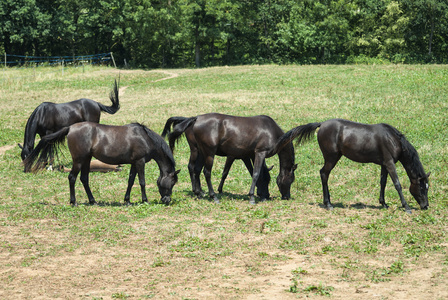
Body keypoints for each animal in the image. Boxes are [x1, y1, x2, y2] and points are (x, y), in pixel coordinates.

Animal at [23, 122, 180, 206]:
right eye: (172, 182)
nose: (167, 200)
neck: (145, 138)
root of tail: (70, 128)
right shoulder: (140, 162)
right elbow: (142, 182)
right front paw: (144, 200)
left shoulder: (134, 163)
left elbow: (130, 181)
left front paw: (127, 200)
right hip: (79, 161)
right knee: (72, 178)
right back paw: (74, 202)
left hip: (87, 160)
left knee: (84, 179)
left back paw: (93, 201)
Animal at [166, 113, 296, 204]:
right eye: (291, 179)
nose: (287, 196)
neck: (270, 130)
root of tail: (196, 118)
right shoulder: (260, 153)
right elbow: (256, 173)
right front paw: (252, 197)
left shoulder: (250, 155)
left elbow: (255, 173)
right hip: (208, 153)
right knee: (206, 172)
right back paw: (213, 196)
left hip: (201, 152)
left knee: (196, 169)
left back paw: (199, 194)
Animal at [276, 118, 430, 212]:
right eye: (422, 188)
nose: (426, 206)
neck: (392, 139)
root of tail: (322, 124)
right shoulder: (390, 163)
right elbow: (397, 184)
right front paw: (406, 207)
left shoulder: (384, 164)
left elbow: (383, 183)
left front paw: (384, 203)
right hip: (331, 158)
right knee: (324, 173)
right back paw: (328, 204)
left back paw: (328, 202)